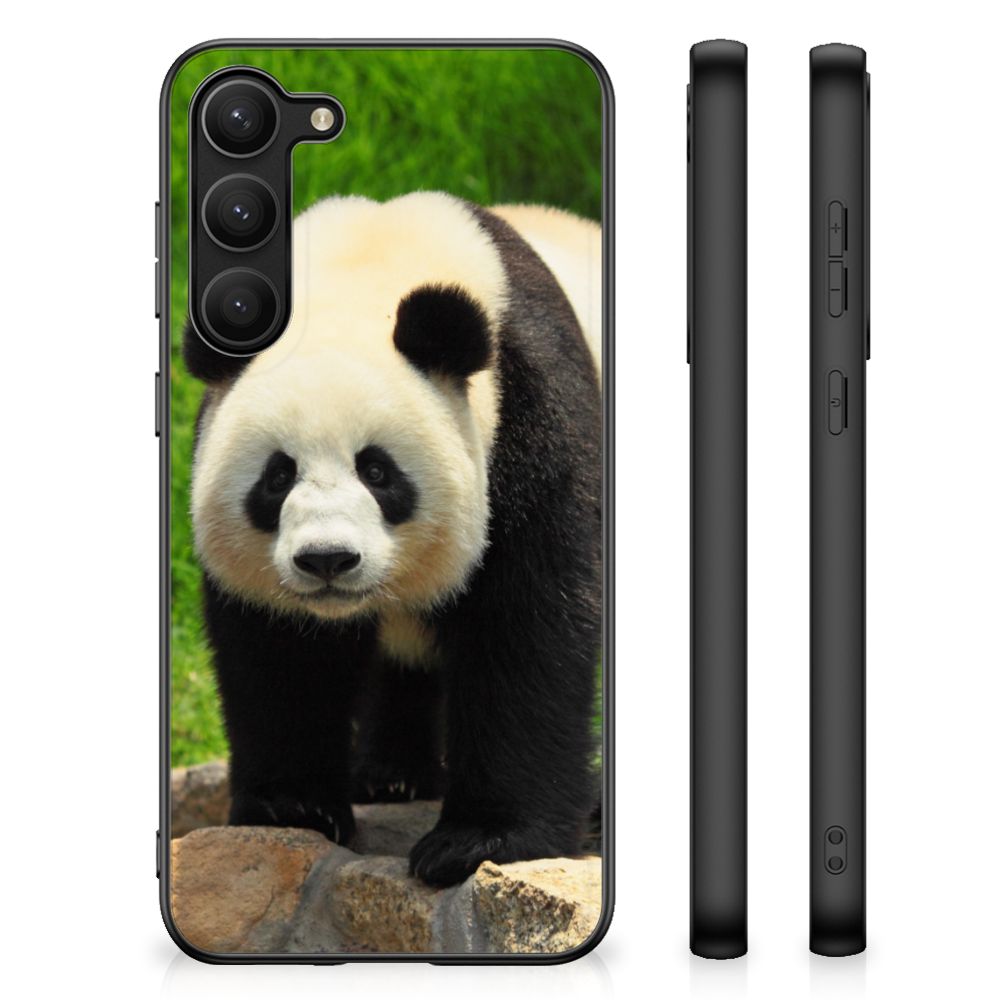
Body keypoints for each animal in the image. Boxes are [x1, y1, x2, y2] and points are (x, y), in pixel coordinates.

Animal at [184, 191, 603, 888]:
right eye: (277, 476)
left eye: (377, 471)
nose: (327, 560)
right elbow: (280, 653)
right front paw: (293, 807)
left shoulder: (531, 419)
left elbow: (529, 627)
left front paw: (479, 841)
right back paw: (391, 776)